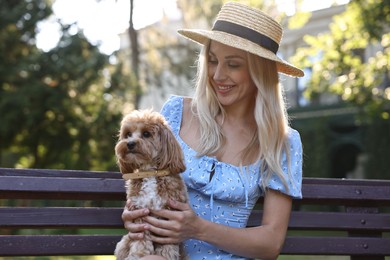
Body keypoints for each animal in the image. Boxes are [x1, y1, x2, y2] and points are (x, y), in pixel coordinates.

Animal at [114, 109, 187, 260]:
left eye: (146, 134)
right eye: (128, 134)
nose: (130, 143)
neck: (149, 172)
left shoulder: (170, 215)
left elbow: (167, 242)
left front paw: (166, 255)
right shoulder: (139, 211)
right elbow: (141, 239)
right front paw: (138, 254)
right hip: (123, 244)